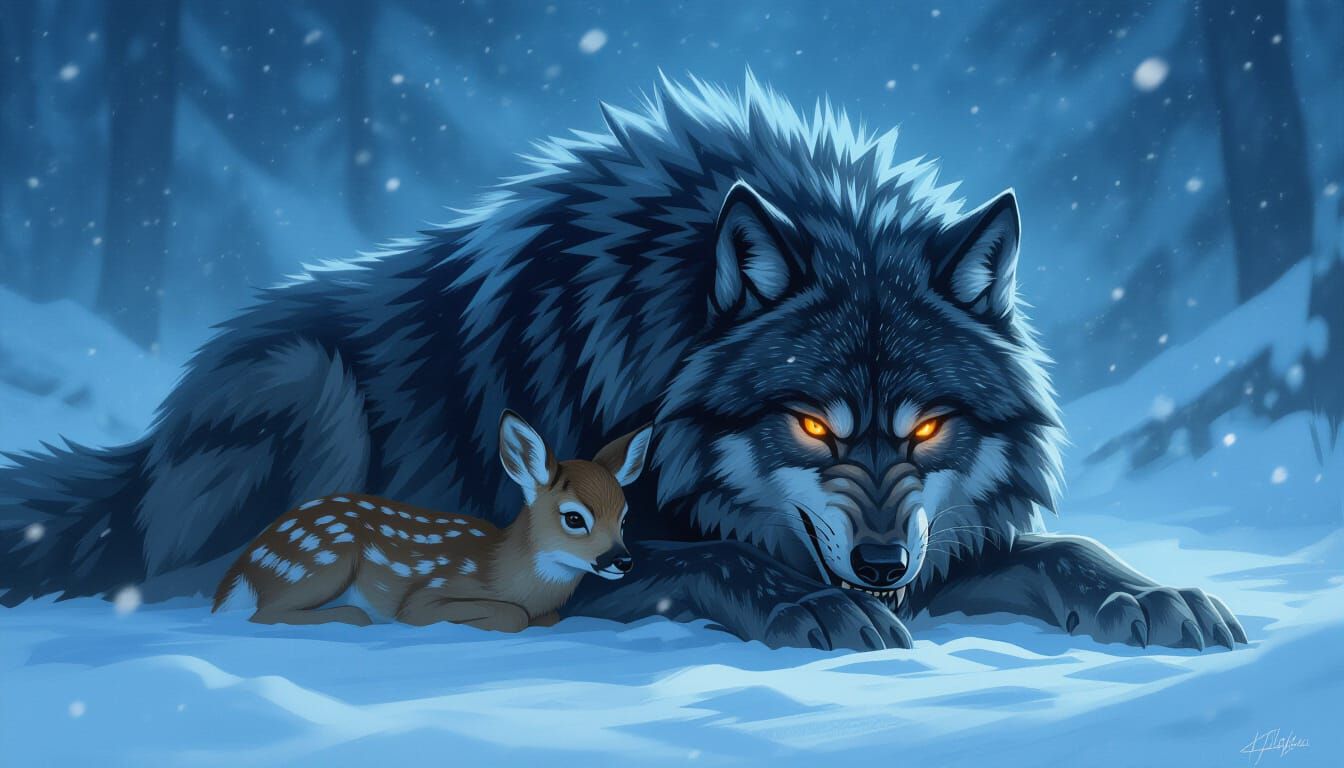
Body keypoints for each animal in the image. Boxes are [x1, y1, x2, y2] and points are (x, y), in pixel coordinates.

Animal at [211, 410, 651, 632]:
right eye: (574, 518)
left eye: (625, 517)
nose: (622, 560)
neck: (501, 569)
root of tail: (240, 572)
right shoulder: (425, 597)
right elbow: (513, 616)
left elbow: (548, 617)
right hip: (326, 558)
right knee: (264, 614)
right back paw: (354, 617)